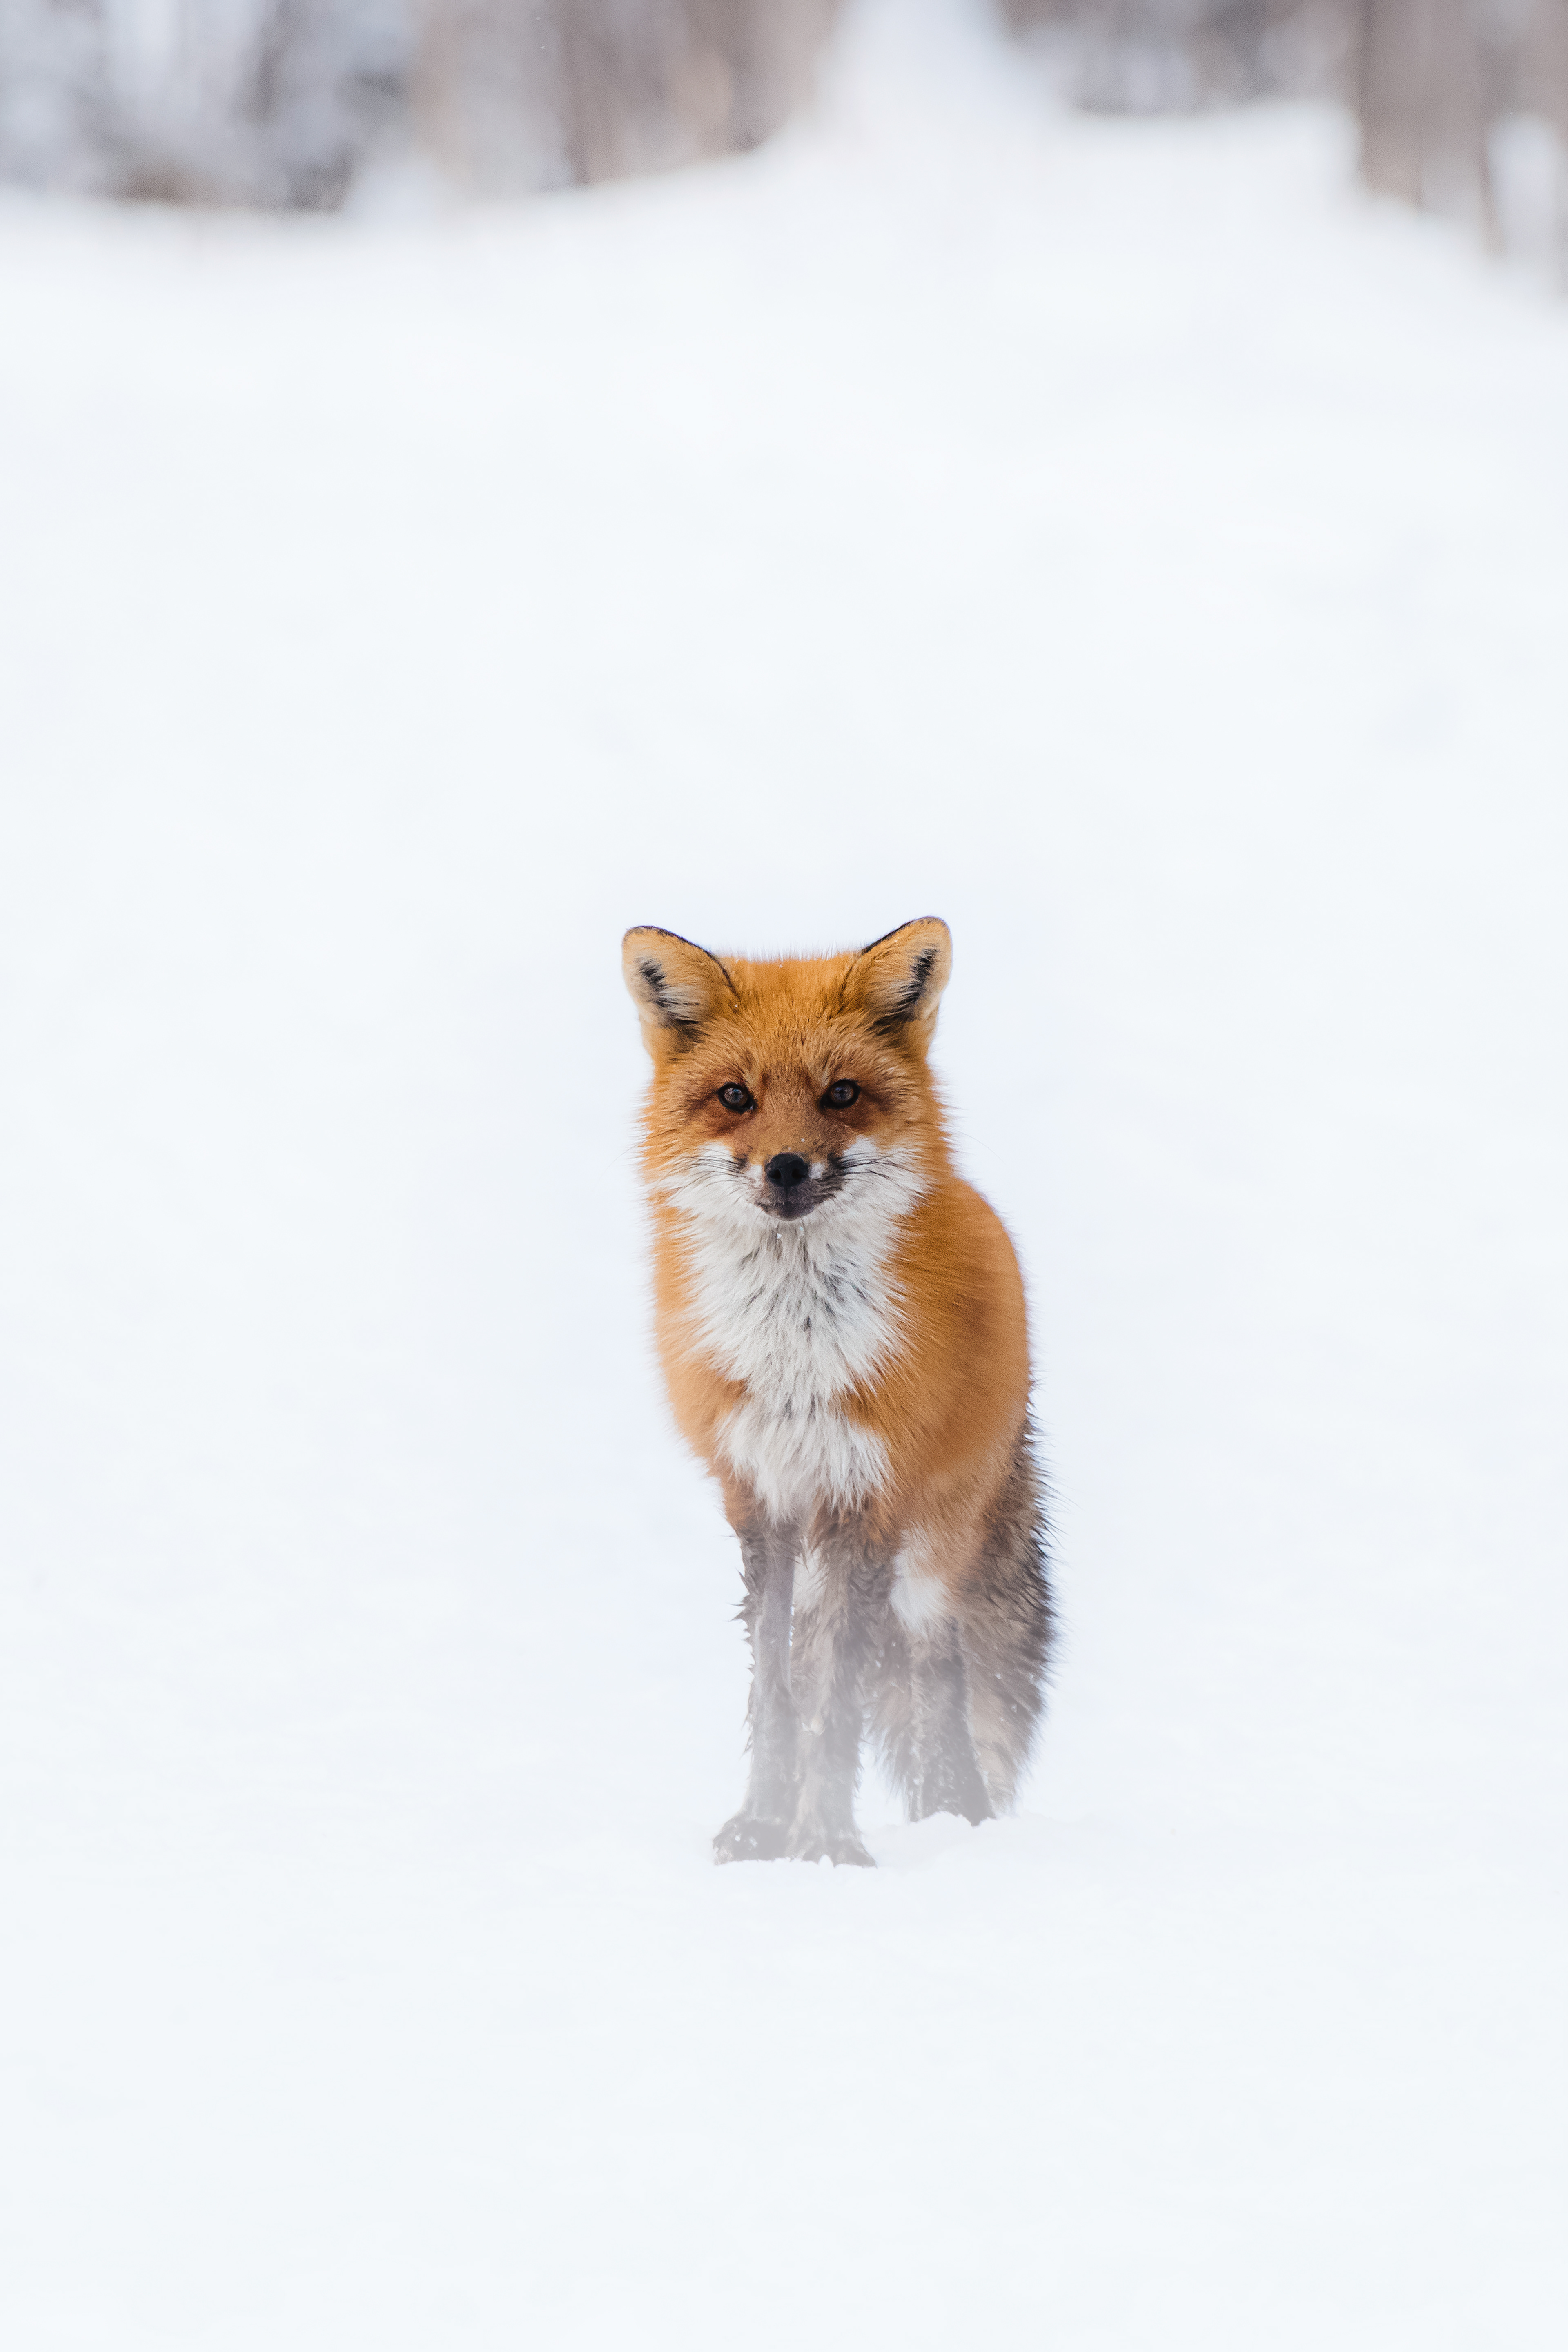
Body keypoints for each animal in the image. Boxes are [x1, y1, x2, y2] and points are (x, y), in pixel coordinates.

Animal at [622, 915, 1054, 1866]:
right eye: (736, 1097)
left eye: (843, 1094)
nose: (785, 1167)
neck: (798, 1360)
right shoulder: (761, 1499)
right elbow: (778, 1689)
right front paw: (761, 1828)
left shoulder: (863, 1498)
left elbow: (838, 1700)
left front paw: (824, 1841)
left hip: (929, 1552)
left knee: (938, 1665)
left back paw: (956, 1815)